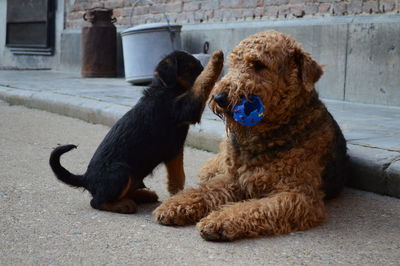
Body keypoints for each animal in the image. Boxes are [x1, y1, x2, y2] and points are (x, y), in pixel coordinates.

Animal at [48, 50, 223, 214]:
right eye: (190, 68)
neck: (166, 88)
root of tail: (85, 178)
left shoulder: (175, 151)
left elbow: (178, 177)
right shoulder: (186, 110)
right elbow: (201, 84)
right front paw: (216, 61)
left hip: (132, 176)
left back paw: (144, 195)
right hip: (122, 172)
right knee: (97, 201)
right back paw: (123, 205)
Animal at [152, 30, 346, 241]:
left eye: (258, 64)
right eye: (234, 63)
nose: (219, 98)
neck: (266, 136)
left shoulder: (299, 195)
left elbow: (253, 207)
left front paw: (218, 220)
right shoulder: (235, 178)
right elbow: (205, 190)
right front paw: (174, 205)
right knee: (212, 168)